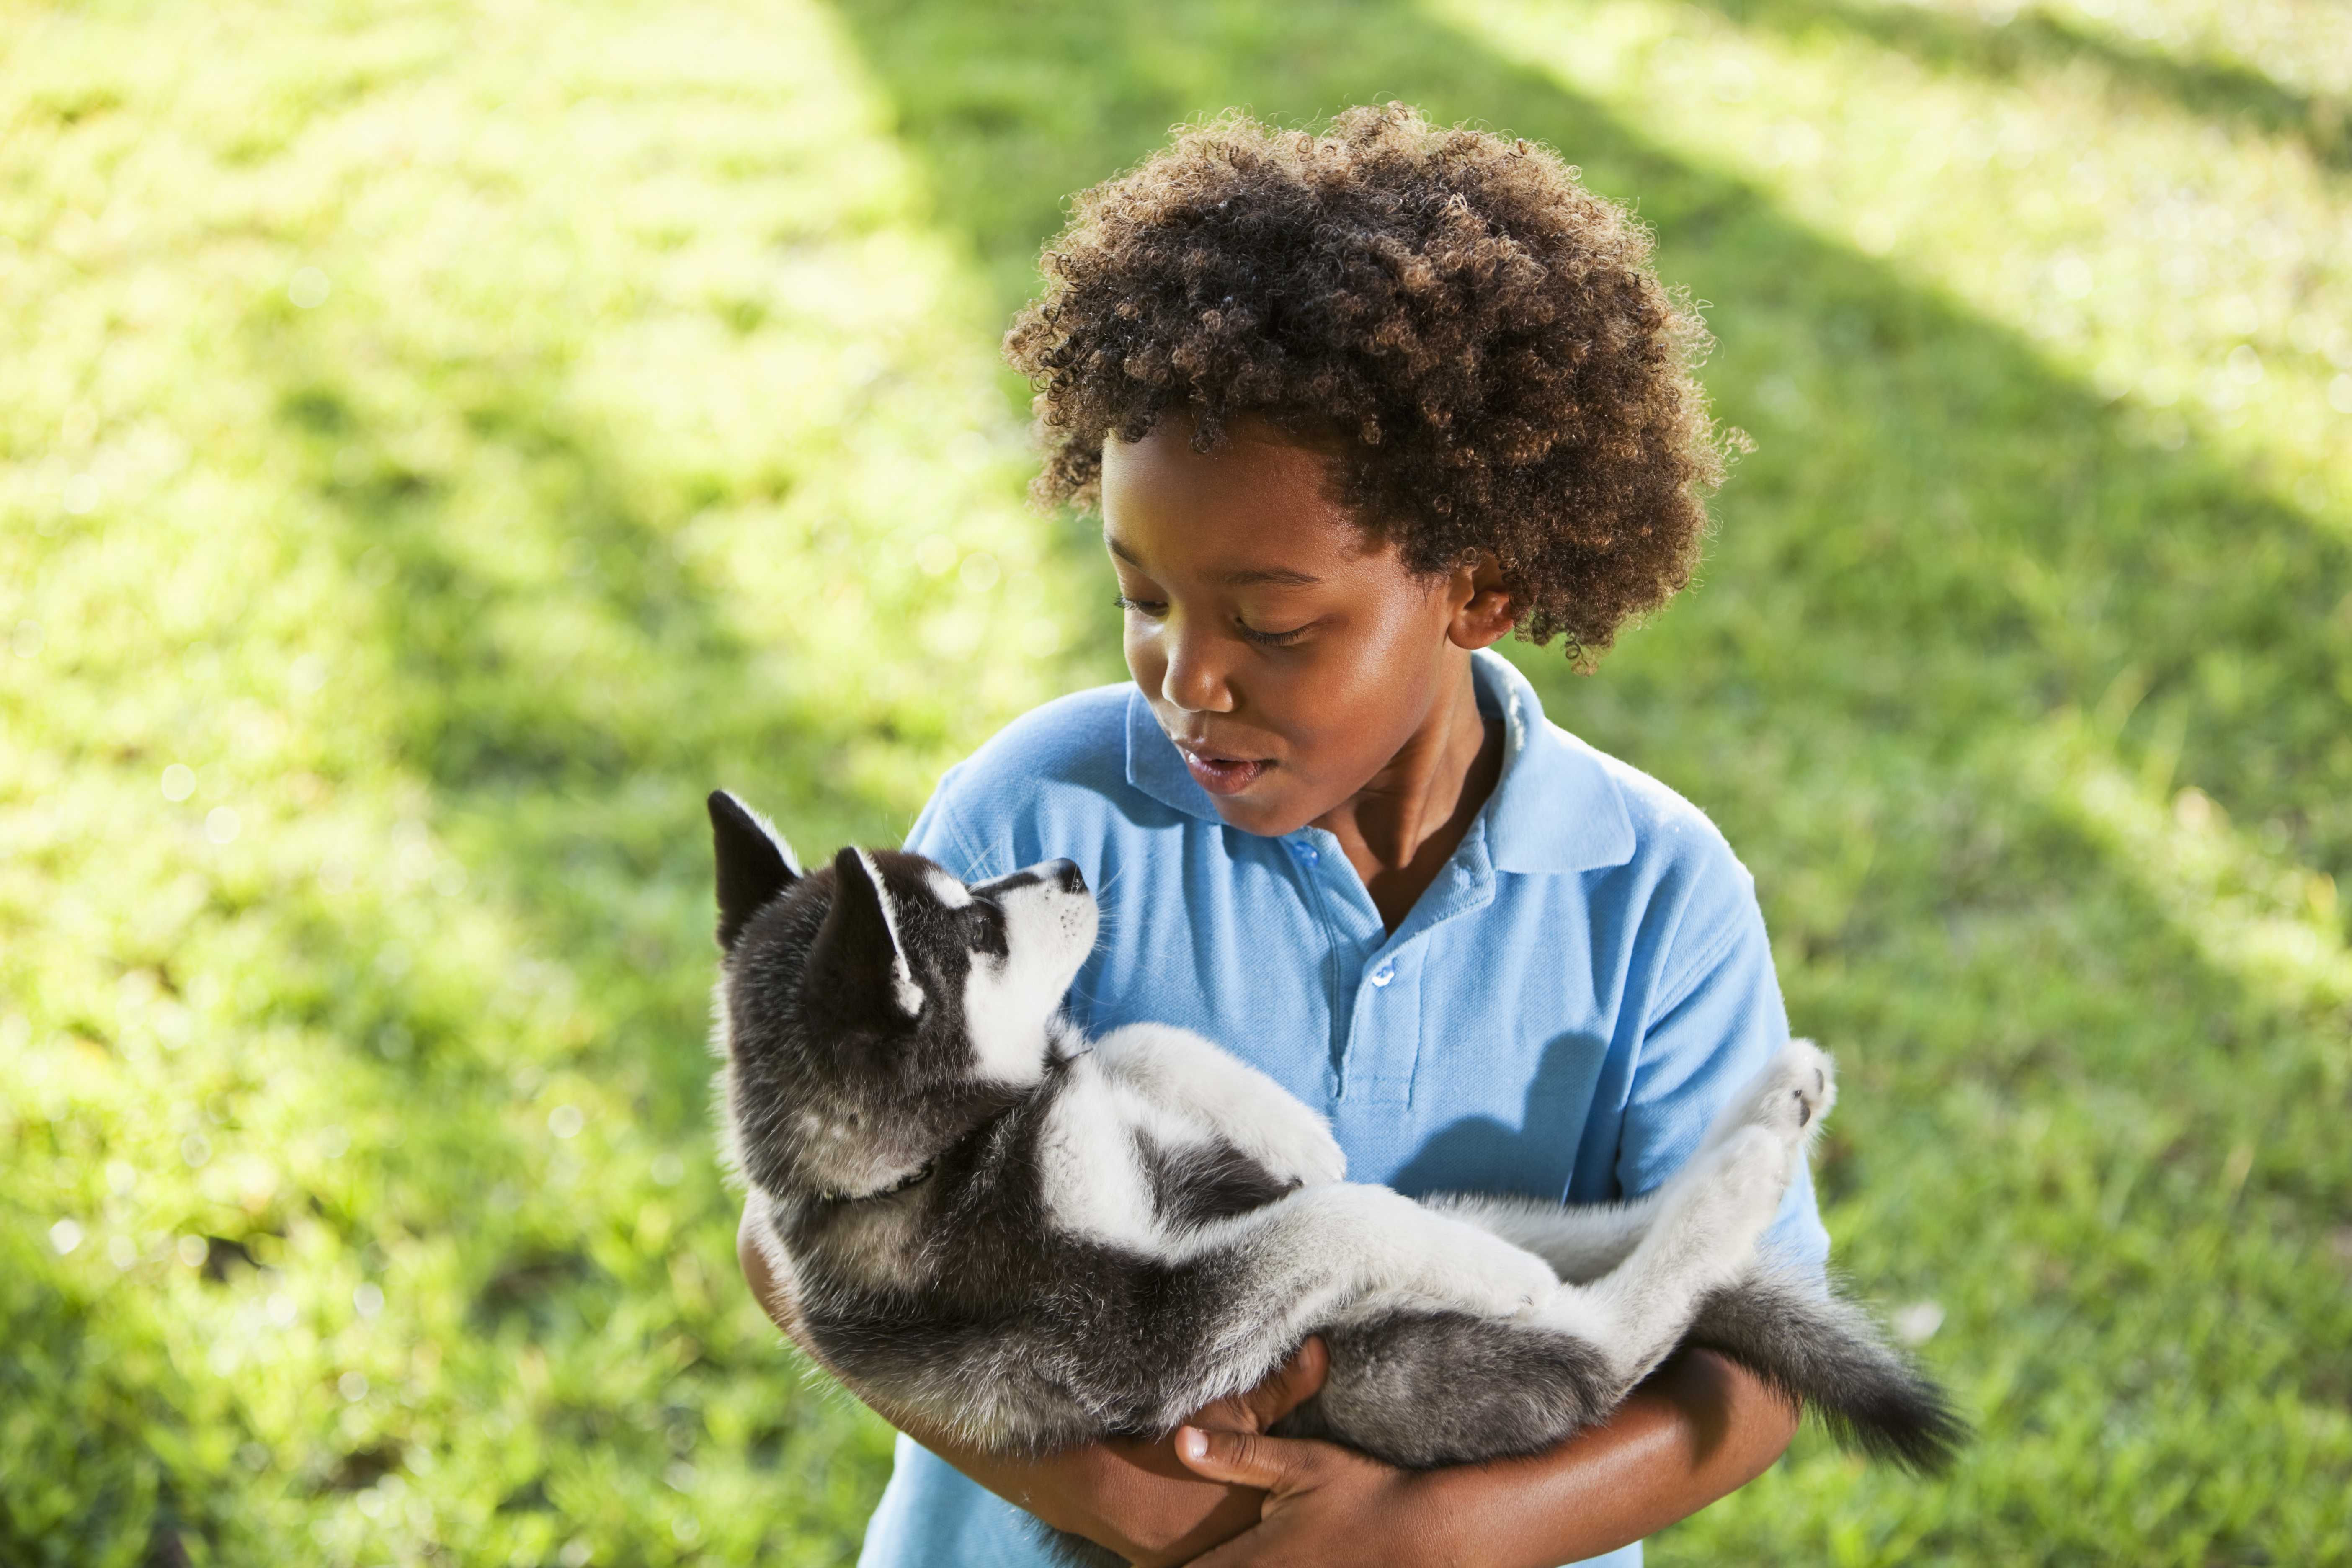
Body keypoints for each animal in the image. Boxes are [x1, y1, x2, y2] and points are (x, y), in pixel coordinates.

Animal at [705, 790, 1957, 1495]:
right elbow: (1324, 1217)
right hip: (1399, 1369)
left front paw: (1281, 1113)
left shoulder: (1120, 1118)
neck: (962, 1144)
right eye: (978, 926)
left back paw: (1766, 1109)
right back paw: (1714, 1181)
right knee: (1607, 1322)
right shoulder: (1142, 1330)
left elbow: (1137, 1045)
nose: (1064, 866)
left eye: (976, 890)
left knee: (1571, 1222)